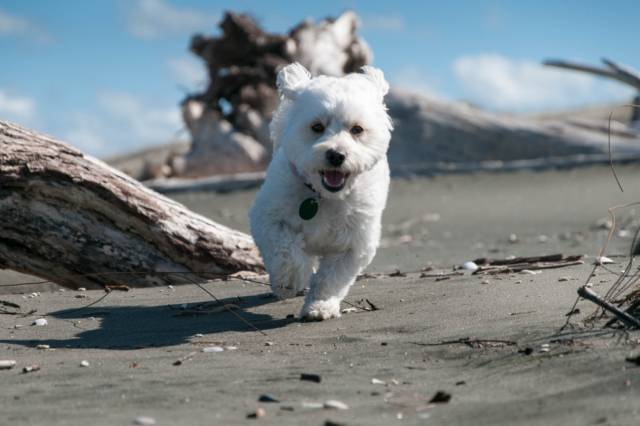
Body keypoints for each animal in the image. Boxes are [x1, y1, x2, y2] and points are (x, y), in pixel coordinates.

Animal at [249, 63, 390, 322]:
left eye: (357, 129)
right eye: (317, 127)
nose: (336, 154)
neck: (322, 197)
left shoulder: (354, 243)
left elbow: (332, 278)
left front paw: (320, 305)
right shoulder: (268, 218)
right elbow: (286, 249)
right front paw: (290, 280)